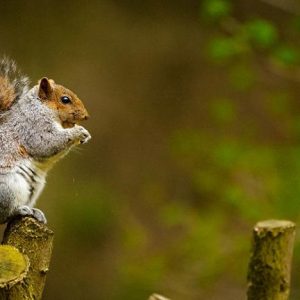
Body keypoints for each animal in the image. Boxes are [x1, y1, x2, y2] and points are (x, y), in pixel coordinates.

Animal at [0, 57, 91, 224]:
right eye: (65, 100)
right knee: (4, 215)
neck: (40, 107)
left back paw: (35, 212)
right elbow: (47, 143)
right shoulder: (33, 127)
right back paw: (20, 210)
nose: (86, 116)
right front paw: (79, 132)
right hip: (8, 189)